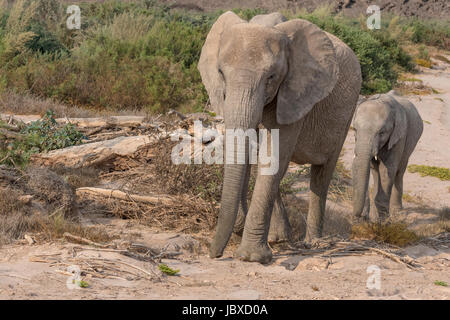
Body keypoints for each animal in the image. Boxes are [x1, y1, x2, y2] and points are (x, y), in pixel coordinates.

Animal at [199, 11, 360, 262]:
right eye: (220, 73)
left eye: (271, 77)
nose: (214, 254)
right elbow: (251, 154)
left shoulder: (296, 91)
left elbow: (273, 156)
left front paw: (252, 257)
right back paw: (281, 238)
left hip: (347, 113)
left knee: (322, 175)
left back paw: (313, 242)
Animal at [354, 91, 424, 221]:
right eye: (355, 129)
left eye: (382, 133)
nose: (360, 216)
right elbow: (372, 168)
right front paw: (372, 218)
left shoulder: (398, 137)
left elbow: (387, 171)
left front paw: (381, 221)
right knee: (376, 172)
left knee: (399, 172)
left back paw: (397, 212)